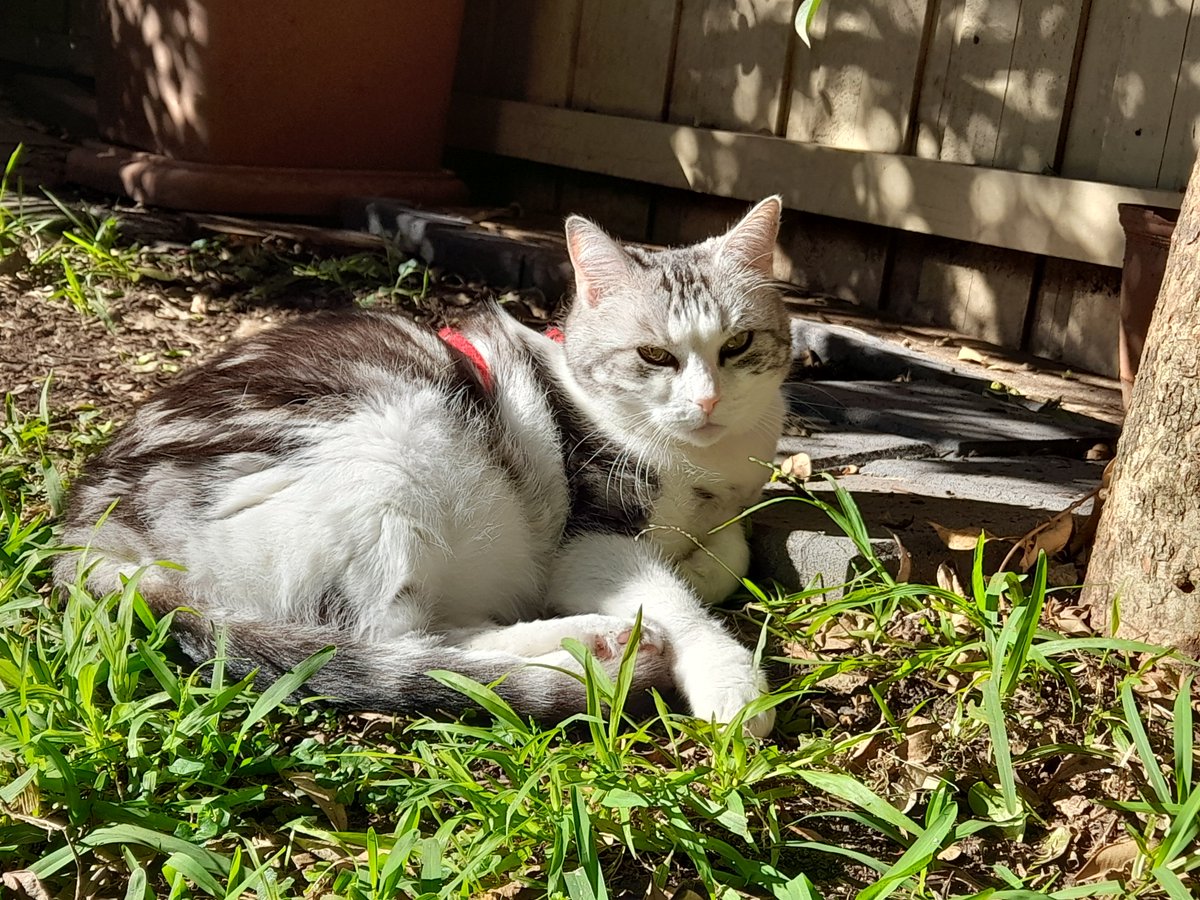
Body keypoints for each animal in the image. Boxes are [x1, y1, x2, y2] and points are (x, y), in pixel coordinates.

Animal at [56, 199, 792, 739]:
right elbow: (675, 599)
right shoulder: (589, 541)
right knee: (396, 643)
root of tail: (88, 531)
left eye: (738, 345)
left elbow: (731, 552)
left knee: (443, 634)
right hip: (390, 460)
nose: (706, 401)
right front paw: (729, 678)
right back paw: (594, 655)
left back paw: (596, 642)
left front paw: (701, 563)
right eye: (654, 356)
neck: (701, 464)